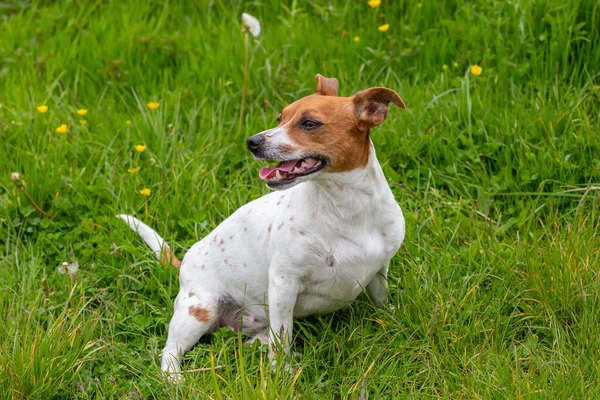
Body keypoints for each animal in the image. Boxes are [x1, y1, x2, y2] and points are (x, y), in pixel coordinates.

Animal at [118, 74, 406, 376]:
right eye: (280, 118)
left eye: (309, 123)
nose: (252, 141)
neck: (347, 207)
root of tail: (184, 260)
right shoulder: (283, 284)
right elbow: (283, 337)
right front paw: (282, 375)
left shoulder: (379, 273)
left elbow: (382, 303)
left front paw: (394, 323)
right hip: (198, 311)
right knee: (170, 352)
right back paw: (175, 380)